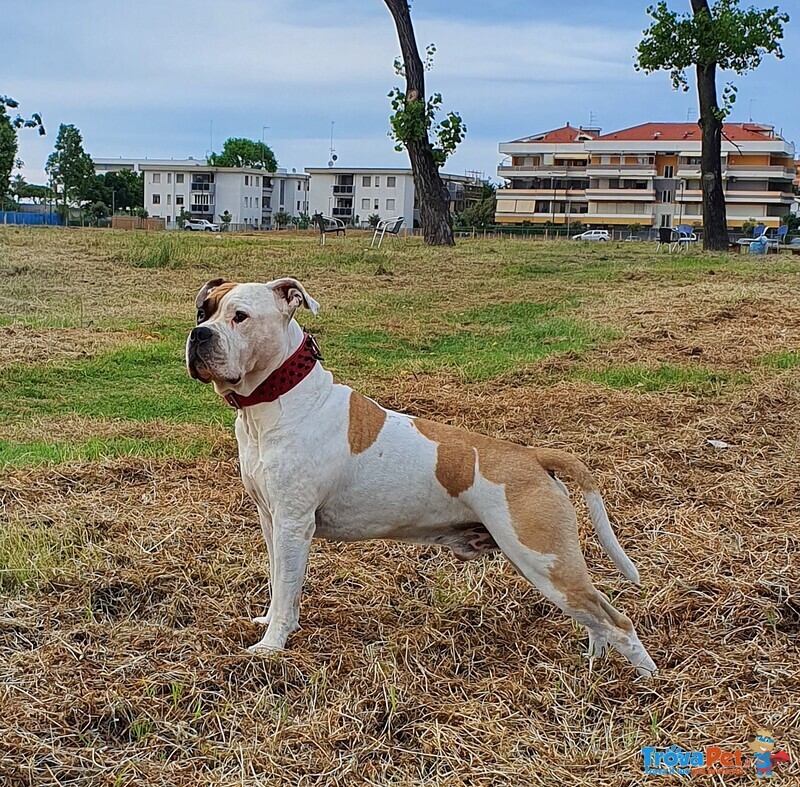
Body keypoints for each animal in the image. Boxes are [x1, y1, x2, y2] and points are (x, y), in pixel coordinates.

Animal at [188, 278, 656, 676]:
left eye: (241, 316)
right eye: (203, 311)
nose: (199, 335)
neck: (277, 402)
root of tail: (534, 457)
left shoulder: (293, 523)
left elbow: (286, 590)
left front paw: (270, 646)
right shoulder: (272, 522)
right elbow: (278, 583)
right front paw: (270, 621)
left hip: (542, 559)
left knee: (619, 621)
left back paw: (646, 683)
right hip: (548, 565)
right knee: (597, 615)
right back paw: (592, 663)